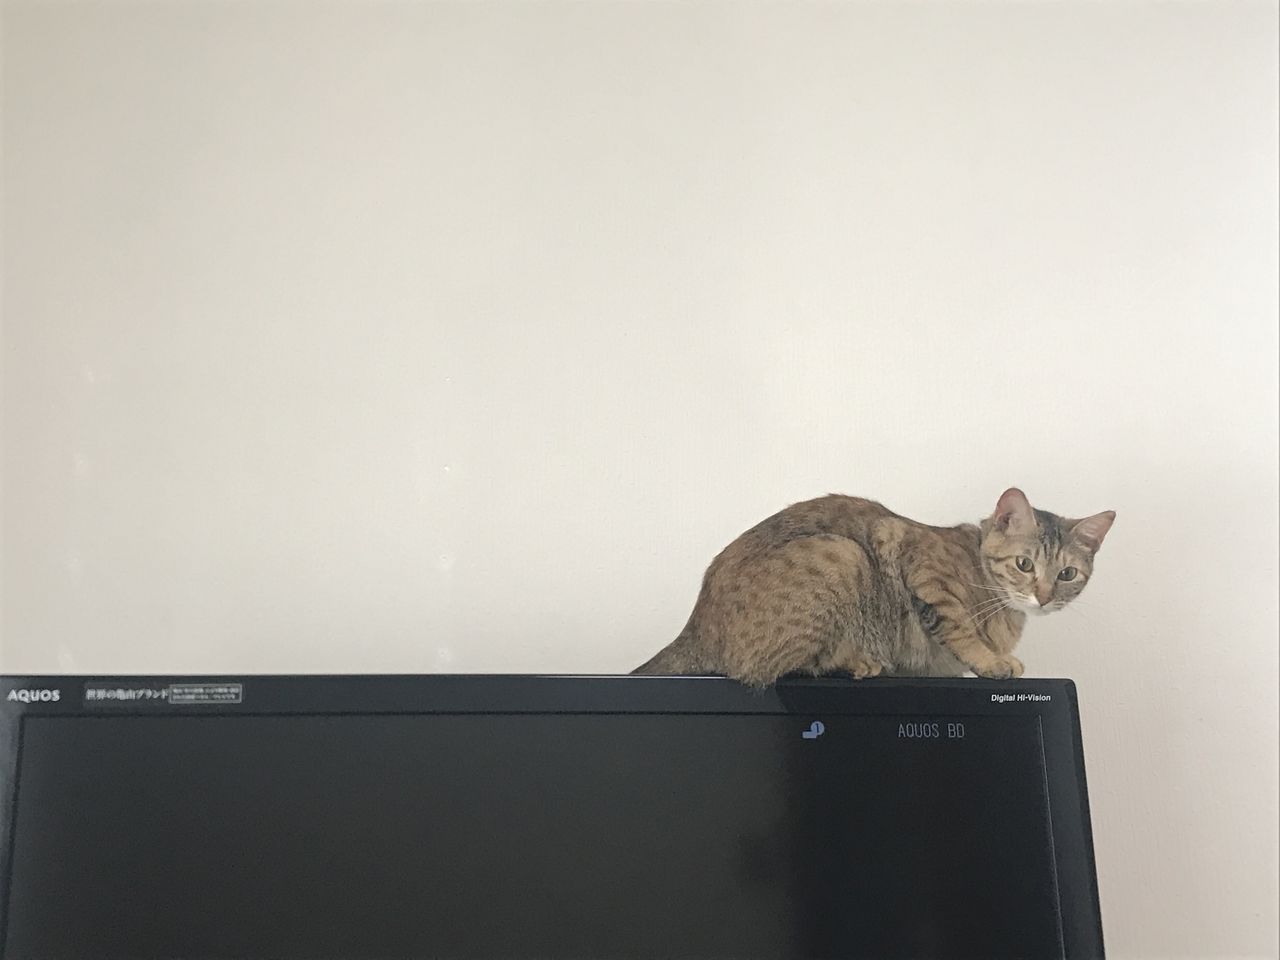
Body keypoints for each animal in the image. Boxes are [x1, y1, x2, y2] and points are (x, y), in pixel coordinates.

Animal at [632, 488, 1114, 686]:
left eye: (1067, 574)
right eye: (1024, 564)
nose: (1044, 597)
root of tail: (695, 626)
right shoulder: (922, 567)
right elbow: (961, 632)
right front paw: (992, 660)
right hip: (843, 555)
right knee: (765, 667)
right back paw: (857, 660)